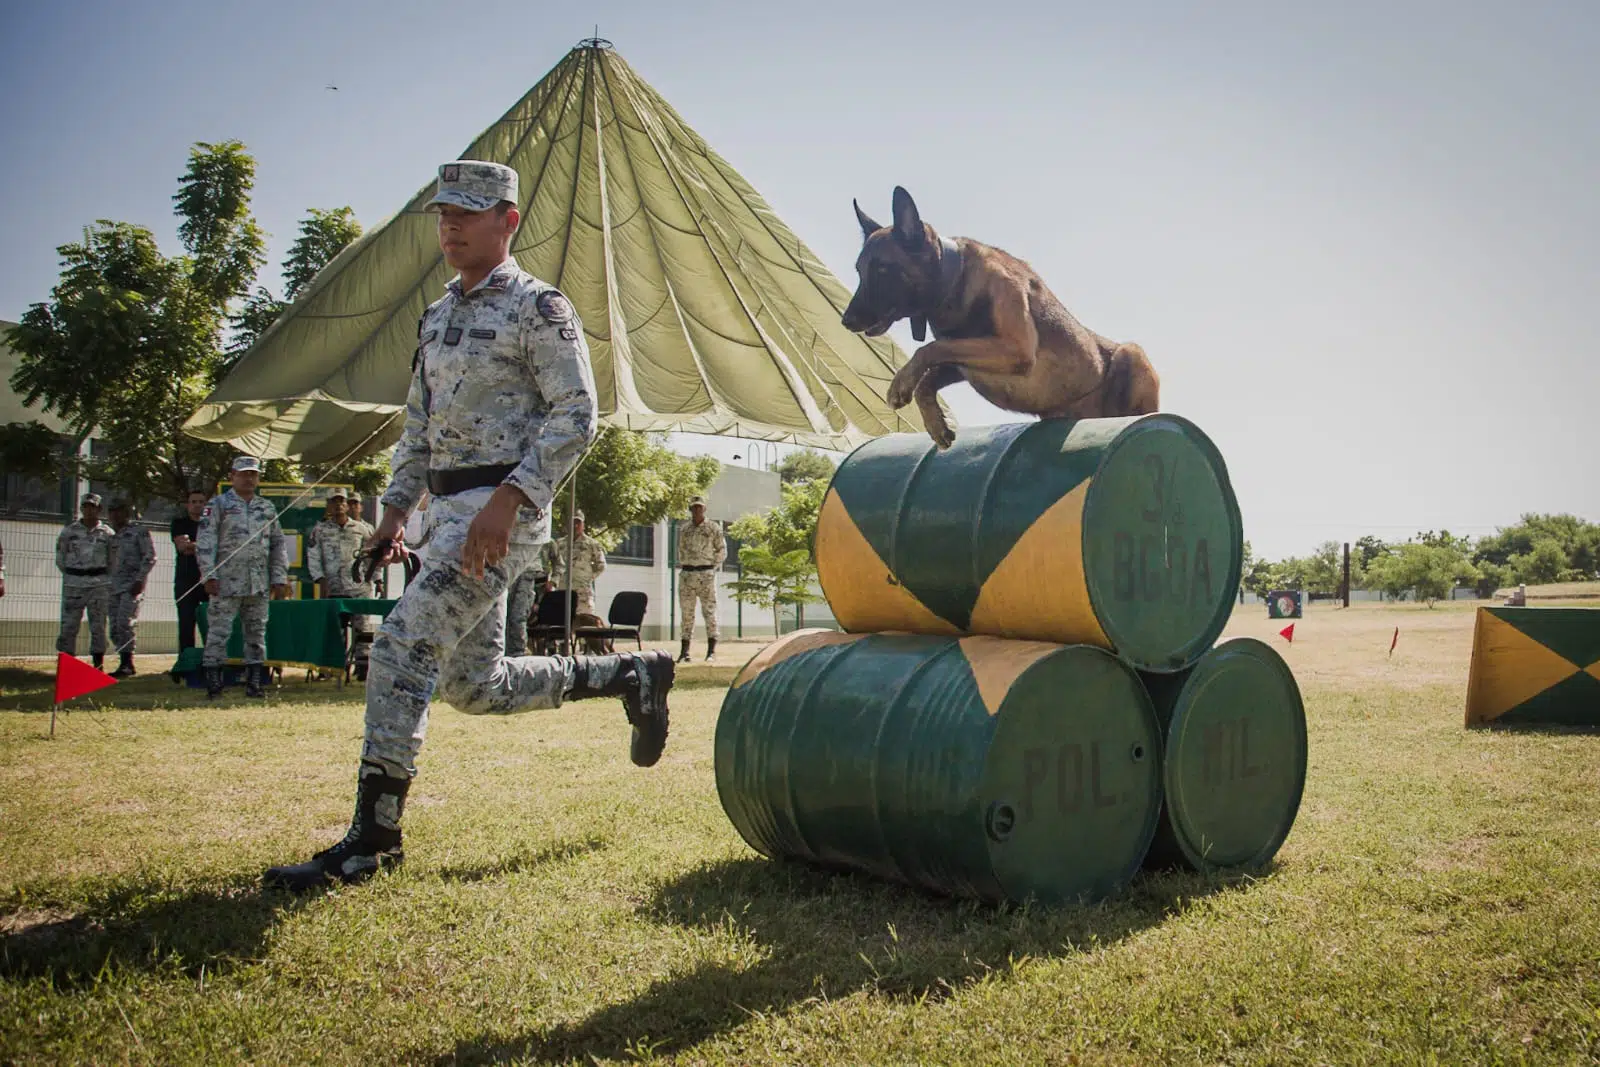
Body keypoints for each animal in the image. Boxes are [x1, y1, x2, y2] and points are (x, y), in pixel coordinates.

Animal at [838, 187, 1164, 447]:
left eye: (882, 269)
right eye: (860, 270)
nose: (846, 321)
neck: (952, 278)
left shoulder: (1015, 348)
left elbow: (928, 349)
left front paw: (900, 384)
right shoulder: (962, 362)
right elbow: (929, 375)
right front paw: (935, 423)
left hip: (1132, 354)